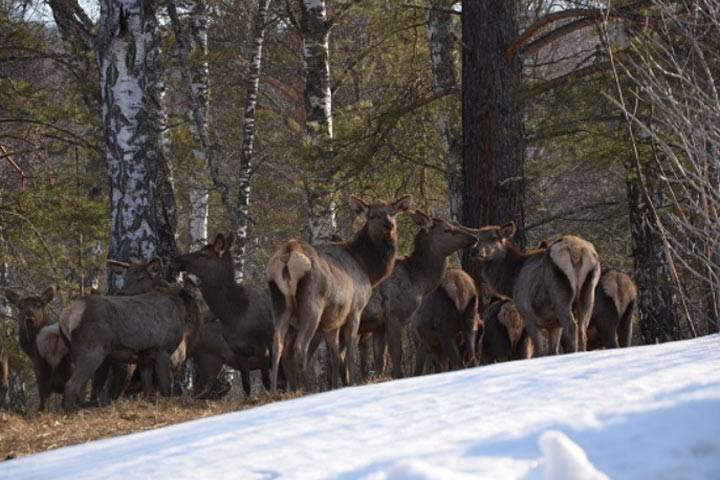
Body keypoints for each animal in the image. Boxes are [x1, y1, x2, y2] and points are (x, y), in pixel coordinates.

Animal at [59, 260, 186, 410]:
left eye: (140, 278)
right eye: (125, 278)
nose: (121, 292)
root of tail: (66, 316)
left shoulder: (145, 358)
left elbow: (148, 391)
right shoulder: (164, 347)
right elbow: (166, 388)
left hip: (75, 352)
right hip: (92, 350)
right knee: (71, 385)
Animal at [176, 233, 274, 398]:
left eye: (204, 254)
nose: (178, 258)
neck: (234, 314)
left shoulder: (263, 346)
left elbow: (267, 382)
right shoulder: (239, 351)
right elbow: (246, 386)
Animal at [266, 193, 414, 392]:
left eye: (393, 212)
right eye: (372, 215)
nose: (389, 225)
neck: (367, 269)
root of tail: (289, 254)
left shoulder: (333, 322)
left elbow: (335, 356)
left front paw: (335, 386)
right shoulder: (355, 309)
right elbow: (349, 352)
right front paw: (351, 383)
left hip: (279, 303)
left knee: (277, 345)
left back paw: (275, 392)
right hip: (312, 303)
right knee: (300, 346)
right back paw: (306, 389)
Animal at [358, 212, 478, 380]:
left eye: (454, 224)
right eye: (447, 229)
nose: (474, 237)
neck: (418, 283)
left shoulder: (379, 323)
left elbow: (380, 359)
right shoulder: (394, 315)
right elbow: (396, 354)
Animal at [472, 223, 600, 354]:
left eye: (493, 238)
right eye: (477, 238)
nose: (475, 250)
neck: (512, 281)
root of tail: (576, 250)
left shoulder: (527, 314)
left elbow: (538, 350)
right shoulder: (554, 324)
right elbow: (552, 351)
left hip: (560, 294)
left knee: (572, 327)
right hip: (588, 292)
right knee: (582, 329)